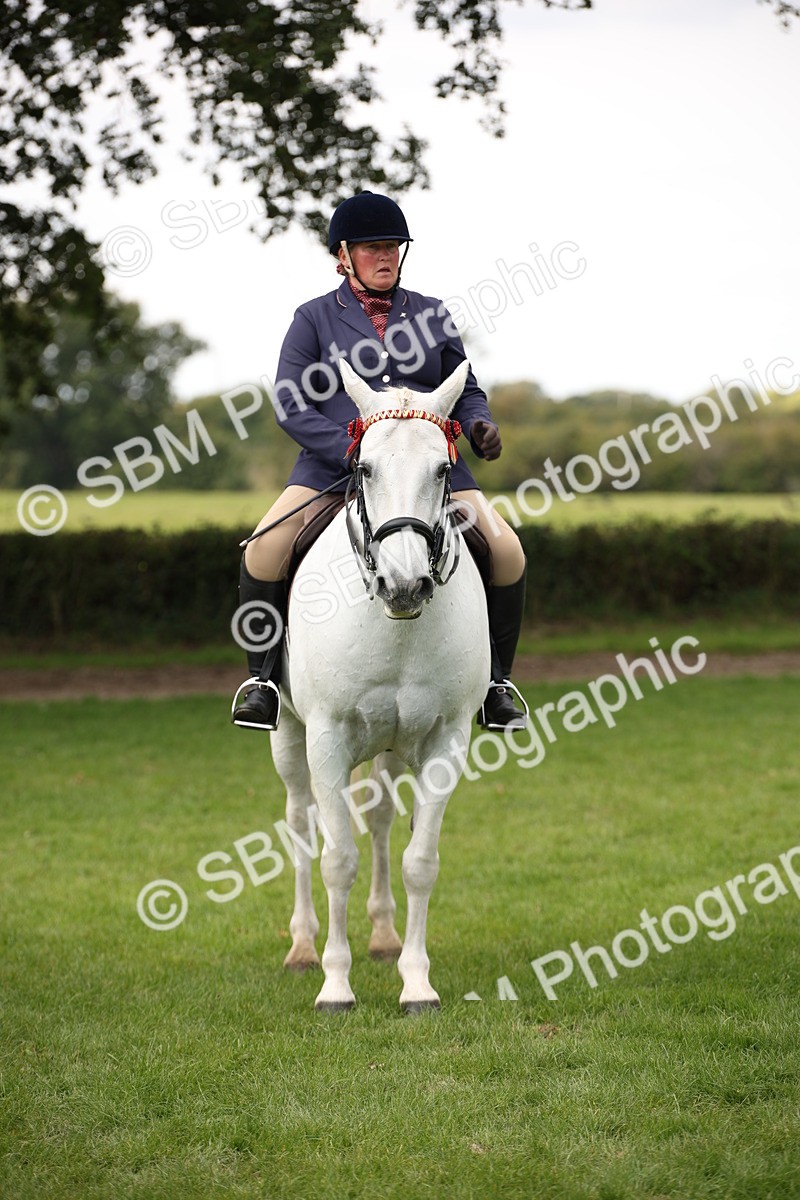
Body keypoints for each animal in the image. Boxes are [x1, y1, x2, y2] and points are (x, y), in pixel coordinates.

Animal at [270, 358, 490, 1013]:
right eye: (363, 467)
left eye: (443, 469)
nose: (405, 584)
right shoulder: (326, 740)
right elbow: (336, 859)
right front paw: (335, 986)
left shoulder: (445, 740)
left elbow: (421, 860)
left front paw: (417, 983)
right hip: (289, 738)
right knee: (300, 823)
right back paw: (302, 947)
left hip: (392, 745)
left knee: (382, 821)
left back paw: (386, 938)